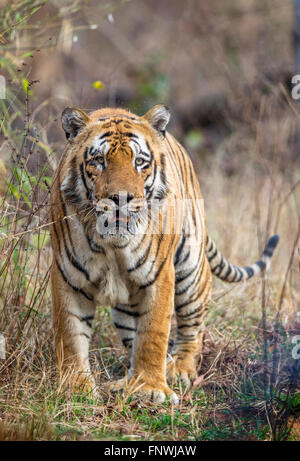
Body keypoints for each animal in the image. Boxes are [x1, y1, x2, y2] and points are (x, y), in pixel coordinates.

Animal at [51, 104, 278, 402]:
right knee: (131, 334)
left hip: (191, 270)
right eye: (98, 160)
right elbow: (70, 334)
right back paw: (123, 384)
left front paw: (150, 388)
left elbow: (153, 334)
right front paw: (74, 387)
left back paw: (179, 369)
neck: (112, 246)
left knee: (192, 329)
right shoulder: (68, 277)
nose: (121, 198)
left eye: (139, 162)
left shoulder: (159, 275)